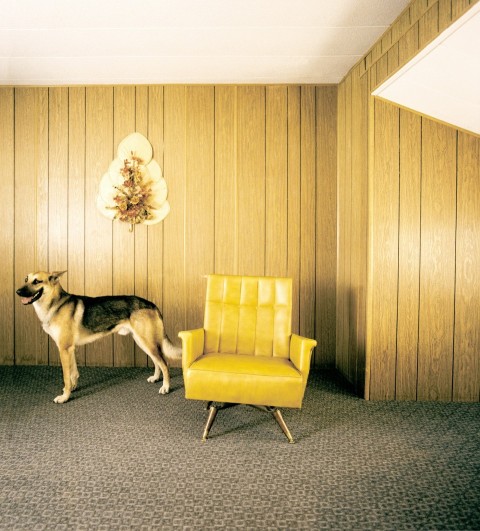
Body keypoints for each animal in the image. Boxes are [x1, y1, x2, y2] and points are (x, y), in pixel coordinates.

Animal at [16, 272, 182, 406]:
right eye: (26, 279)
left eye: (37, 281)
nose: (18, 291)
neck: (55, 304)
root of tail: (152, 304)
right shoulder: (70, 350)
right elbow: (73, 373)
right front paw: (72, 388)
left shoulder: (64, 349)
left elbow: (66, 376)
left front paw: (65, 397)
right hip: (142, 341)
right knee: (157, 362)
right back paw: (156, 378)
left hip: (147, 342)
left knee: (164, 363)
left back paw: (166, 387)